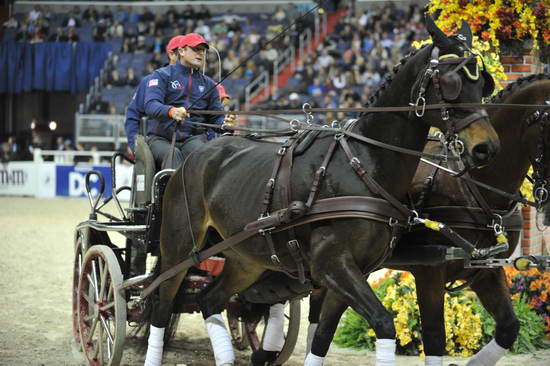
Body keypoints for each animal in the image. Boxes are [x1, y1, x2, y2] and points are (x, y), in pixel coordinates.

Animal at [144, 17, 502, 366]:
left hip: (245, 259)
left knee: (210, 300)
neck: (363, 162)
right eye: (451, 83)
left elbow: (322, 336)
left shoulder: (348, 273)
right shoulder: (333, 265)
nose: (487, 148)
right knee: (161, 308)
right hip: (179, 246)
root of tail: (194, 158)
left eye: (483, 83)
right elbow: (384, 323)